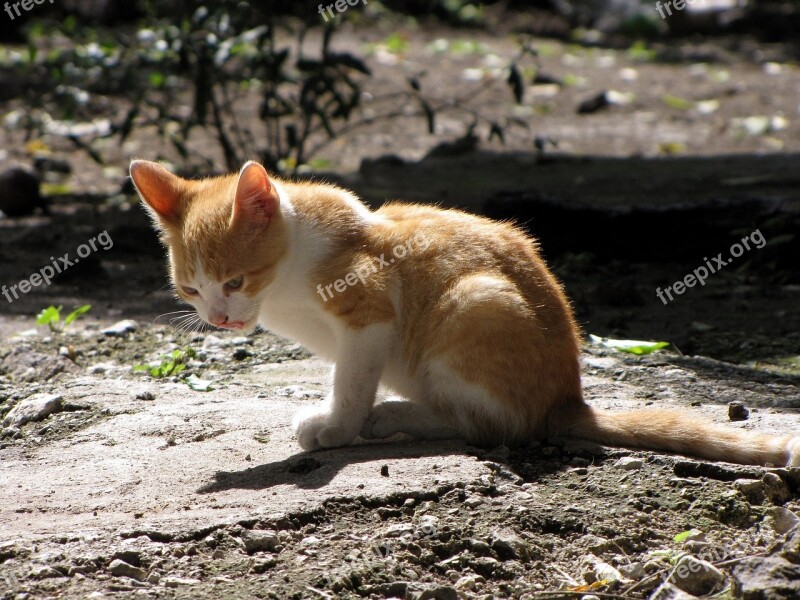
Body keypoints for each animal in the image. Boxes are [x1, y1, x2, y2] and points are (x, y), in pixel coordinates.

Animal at [130, 159, 800, 468]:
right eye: (190, 290)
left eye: (235, 281)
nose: (220, 319)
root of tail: (569, 398)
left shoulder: (370, 310)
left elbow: (352, 382)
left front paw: (339, 426)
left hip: (477, 300)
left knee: (492, 424)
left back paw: (392, 417)